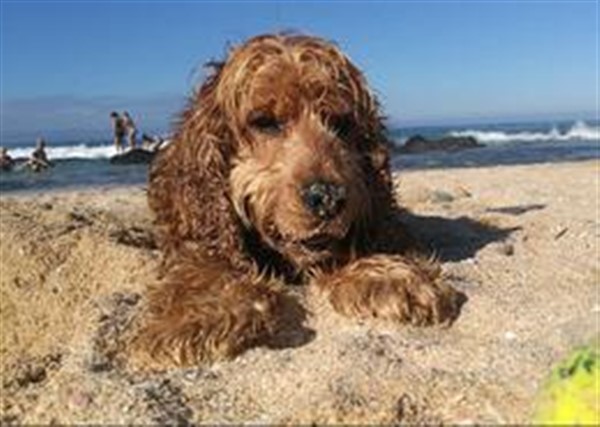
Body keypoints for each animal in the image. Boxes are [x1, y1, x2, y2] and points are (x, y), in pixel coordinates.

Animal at [137, 33, 460, 368]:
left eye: (341, 124)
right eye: (265, 122)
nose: (328, 197)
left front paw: (388, 277)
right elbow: (205, 265)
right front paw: (199, 315)